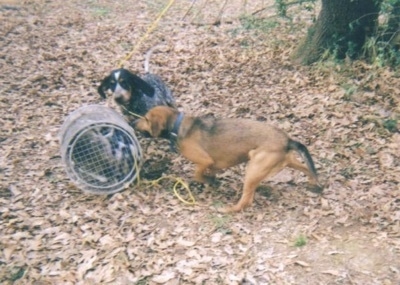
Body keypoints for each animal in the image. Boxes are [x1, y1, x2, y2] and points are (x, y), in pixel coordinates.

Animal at [137, 106, 322, 211]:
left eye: (146, 118)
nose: (133, 123)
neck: (177, 126)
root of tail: (287, 140)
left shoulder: (205, 161)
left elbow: (198, 174)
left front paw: (208, 181)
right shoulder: (213, 165)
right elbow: (210, 173)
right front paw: (212, 181)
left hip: (254, 166)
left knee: (246, 201)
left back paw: (229, 210)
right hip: (287, 161)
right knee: (306, 168)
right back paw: (313, 184)